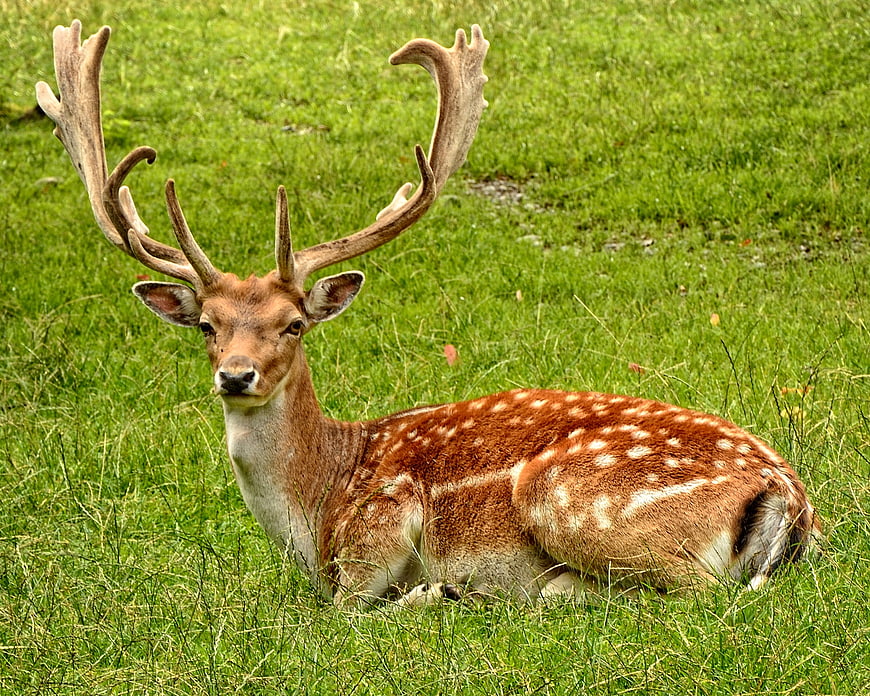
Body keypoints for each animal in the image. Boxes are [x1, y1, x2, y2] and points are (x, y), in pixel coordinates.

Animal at [37, 20, 820, 608]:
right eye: (208, 325)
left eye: (294, 323)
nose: (236, 375)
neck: (317, 507)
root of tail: (789, 495)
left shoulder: (378, 528)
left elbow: (348, 608)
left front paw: (430, 591)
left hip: (568, 495)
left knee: (695, 591)